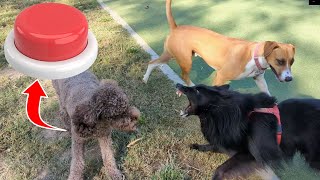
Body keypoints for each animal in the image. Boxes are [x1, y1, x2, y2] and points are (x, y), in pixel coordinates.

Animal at [142, 0, 296, 95]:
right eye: (280, 61)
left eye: (292, 62)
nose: (289, 79)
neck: (254, 55)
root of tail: (176, 27)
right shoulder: (220, 76)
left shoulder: (260, 80)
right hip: (184, 60)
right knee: (184, 75)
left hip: (171, 54)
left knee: (153, 62)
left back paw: (145, 79)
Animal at [176, 83, 320, 180]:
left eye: (197, 90)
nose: (179, 84)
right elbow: (212, 146)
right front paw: (196, 146)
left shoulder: (249, 155)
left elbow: (221, 169)